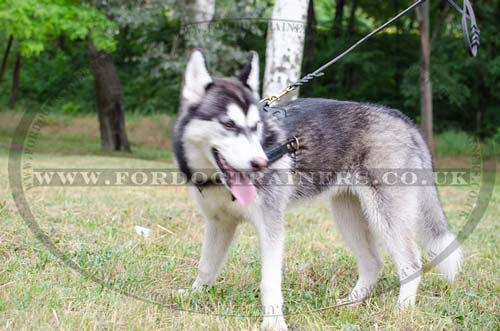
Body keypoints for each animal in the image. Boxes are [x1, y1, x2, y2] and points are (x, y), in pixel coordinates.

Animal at [174, 50, 462, 331]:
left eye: (256, 127)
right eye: (228, 124)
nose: (261, 162)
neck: (218, 180)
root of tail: (402, 119)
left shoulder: (271, 226)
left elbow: (269, 281)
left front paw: (274, 321)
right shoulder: (219, 223)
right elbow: (206, 265)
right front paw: (195, 295)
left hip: (386, 216)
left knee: (411, 263)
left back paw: (401, 311)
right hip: (348, 217)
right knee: (373, 263)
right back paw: (350, 303)